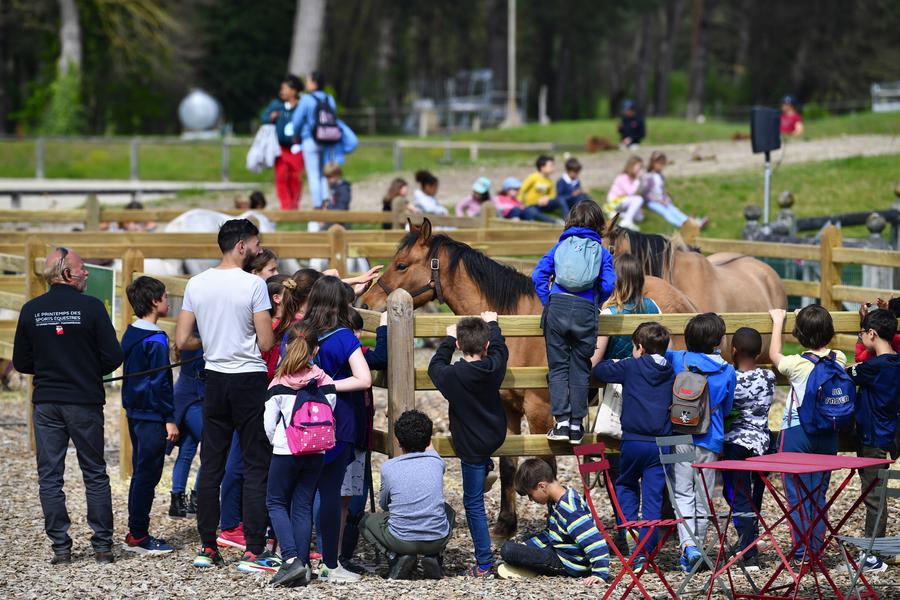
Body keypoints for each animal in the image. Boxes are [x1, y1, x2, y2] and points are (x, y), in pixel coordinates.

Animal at [362, 218, 700, 536]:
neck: (516, 326)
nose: (367, 303)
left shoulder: (541, 412)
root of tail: (683, 303)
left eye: (402, 264)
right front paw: (505, 523)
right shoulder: (508, 408)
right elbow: (508, 463)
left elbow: (545, 464)